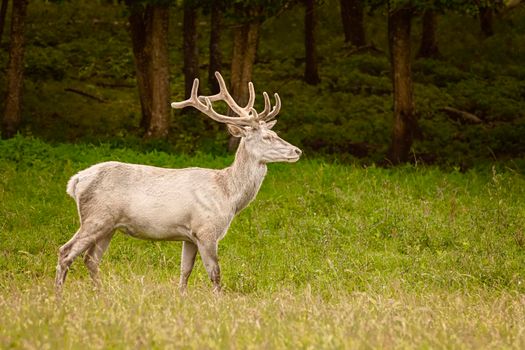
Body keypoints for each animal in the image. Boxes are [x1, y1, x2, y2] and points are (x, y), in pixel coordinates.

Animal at [55, 72, 300, 294]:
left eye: (275, 133)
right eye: (267, 137)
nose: (297, 151)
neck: (228, 195)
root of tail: (76, 181)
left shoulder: (189, 236)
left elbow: (185, 271)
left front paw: (181, 297)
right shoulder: (206, 230)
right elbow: (215, 273)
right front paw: (218, 301)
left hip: (109, 225)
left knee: (90, 259)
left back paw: (101, 294)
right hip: (95, 217)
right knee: (65, 252)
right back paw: (59, 296)